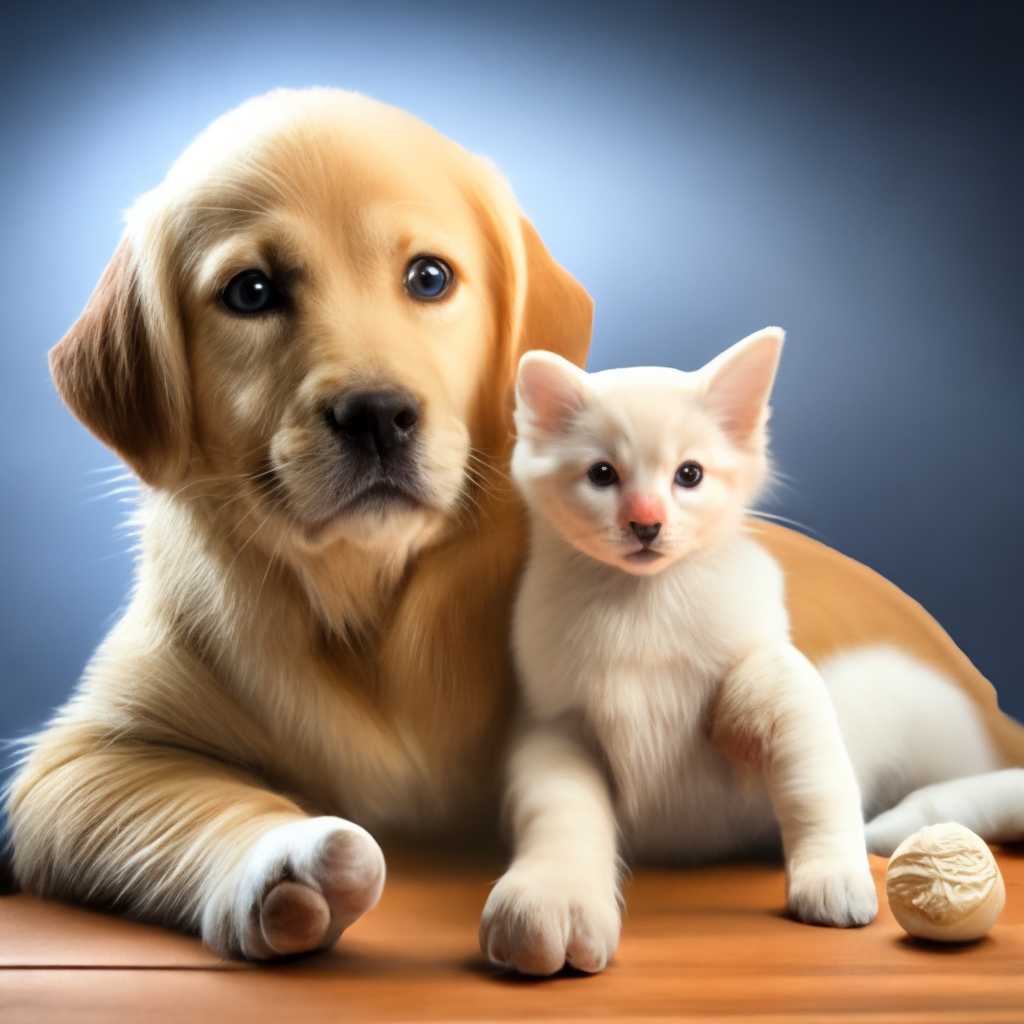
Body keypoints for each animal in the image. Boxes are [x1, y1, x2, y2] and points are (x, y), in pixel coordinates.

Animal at [483, 329, 876, 974]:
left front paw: (833, 875)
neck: (644, 604)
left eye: (688, 475)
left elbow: (810, 758)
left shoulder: (777, 675)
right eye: (602, 474)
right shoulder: (556, 724)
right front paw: (552, 896)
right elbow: (562, 808)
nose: (646, 524)